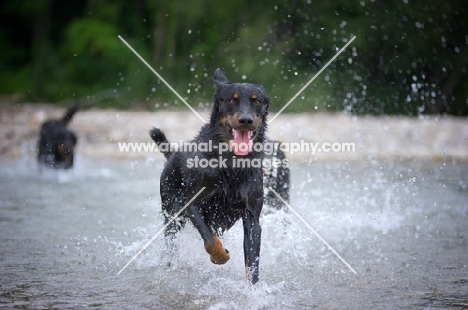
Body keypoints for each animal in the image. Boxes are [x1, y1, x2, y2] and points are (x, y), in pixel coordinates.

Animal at [151, 68, 274, 284]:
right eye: (232, 100)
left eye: (257, 101)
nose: (246, 120)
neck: (232, 165)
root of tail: (173, 155)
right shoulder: (192, 205)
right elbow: (209, 240)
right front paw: (220, 256)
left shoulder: (252, 216)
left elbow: (252, 261)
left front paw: (253, 288)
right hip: (172, 212)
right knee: (171, 241)